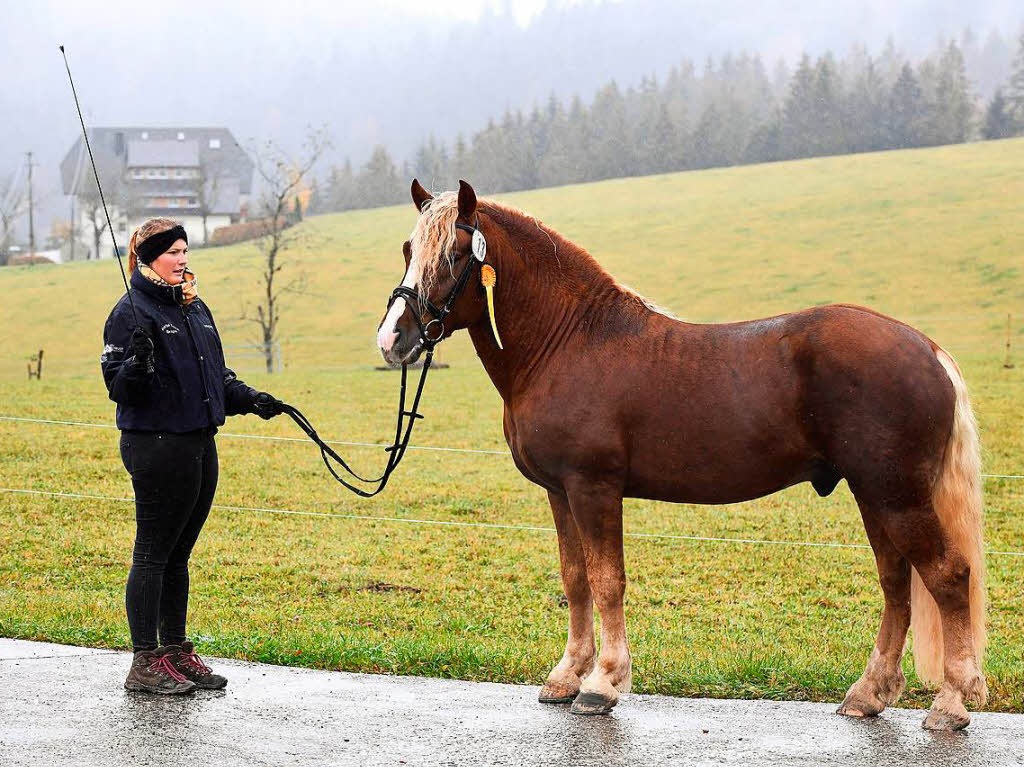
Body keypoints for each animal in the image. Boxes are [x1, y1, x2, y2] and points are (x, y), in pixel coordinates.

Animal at [374, 178, 983, 729]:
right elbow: (576, 579)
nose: (392, 340)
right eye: (407, 250)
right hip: (874, 494)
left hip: (896, 495)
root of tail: (929, 350)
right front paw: (566, 676)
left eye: (454, 255)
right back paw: (868, 694)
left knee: (948, 576)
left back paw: (950, 704)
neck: (567, 342)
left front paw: (603, 684)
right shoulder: (559, 491)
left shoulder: (594, 487)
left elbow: (607, 579)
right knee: (897, 585)